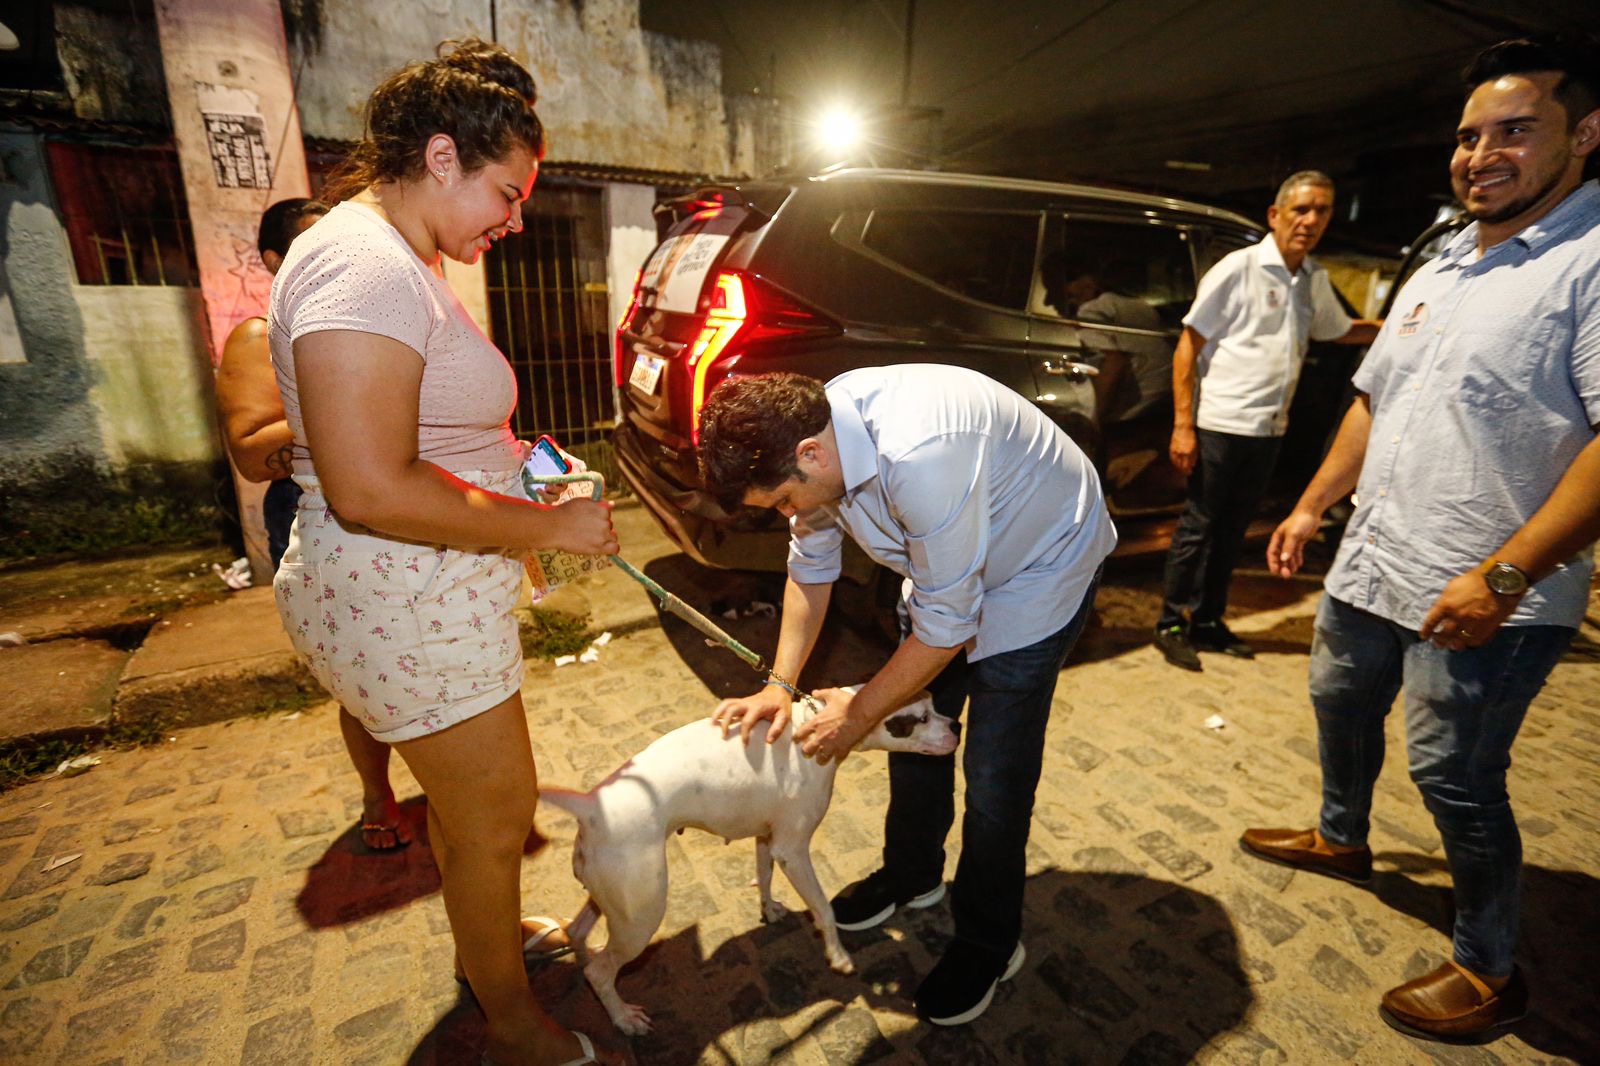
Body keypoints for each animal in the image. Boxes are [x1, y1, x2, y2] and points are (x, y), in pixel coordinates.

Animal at [544, 688, 953, 1030]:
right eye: (919, 718)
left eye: (934, 705)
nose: (957, 726)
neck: (810, 727)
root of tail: (591, 805)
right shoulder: (793, 850)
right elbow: (824, 909)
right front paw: (837, 955)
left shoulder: (767, 839)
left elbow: (765, 875)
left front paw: (769, 910)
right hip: (641, 917)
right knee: (600, 973)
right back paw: (623, 1018)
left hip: (612, 900)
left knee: (578, 933)